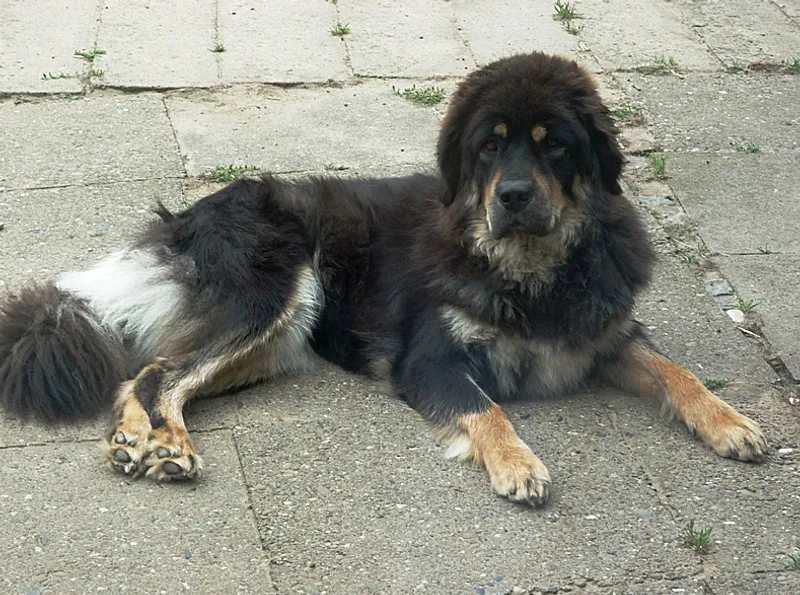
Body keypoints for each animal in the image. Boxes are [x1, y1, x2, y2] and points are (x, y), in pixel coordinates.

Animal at [0, 53, 767, 506]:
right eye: (489, 146)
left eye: (555, 146)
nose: (513, 195)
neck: (529, 268)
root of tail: (193, 213)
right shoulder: (431, 360)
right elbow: (488, 408)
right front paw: (518, 464)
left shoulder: (607, 333)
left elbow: (678, 373)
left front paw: (731, 422)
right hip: (275, 293)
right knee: (158, 372)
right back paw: (160, 444)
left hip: (276, 342)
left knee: (164, 373)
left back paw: (147, 439)